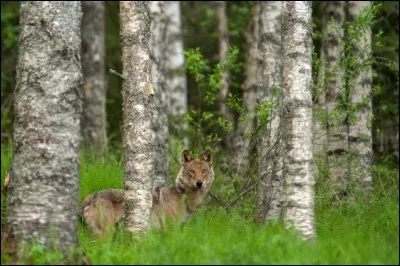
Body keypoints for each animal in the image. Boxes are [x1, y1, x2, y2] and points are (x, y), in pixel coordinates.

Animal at [79, 149, 214, 238]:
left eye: (204, 171)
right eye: (192, 171)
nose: (199, 183)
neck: (184, 197)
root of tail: (90, 197)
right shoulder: (172, 229)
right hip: (106, 233)